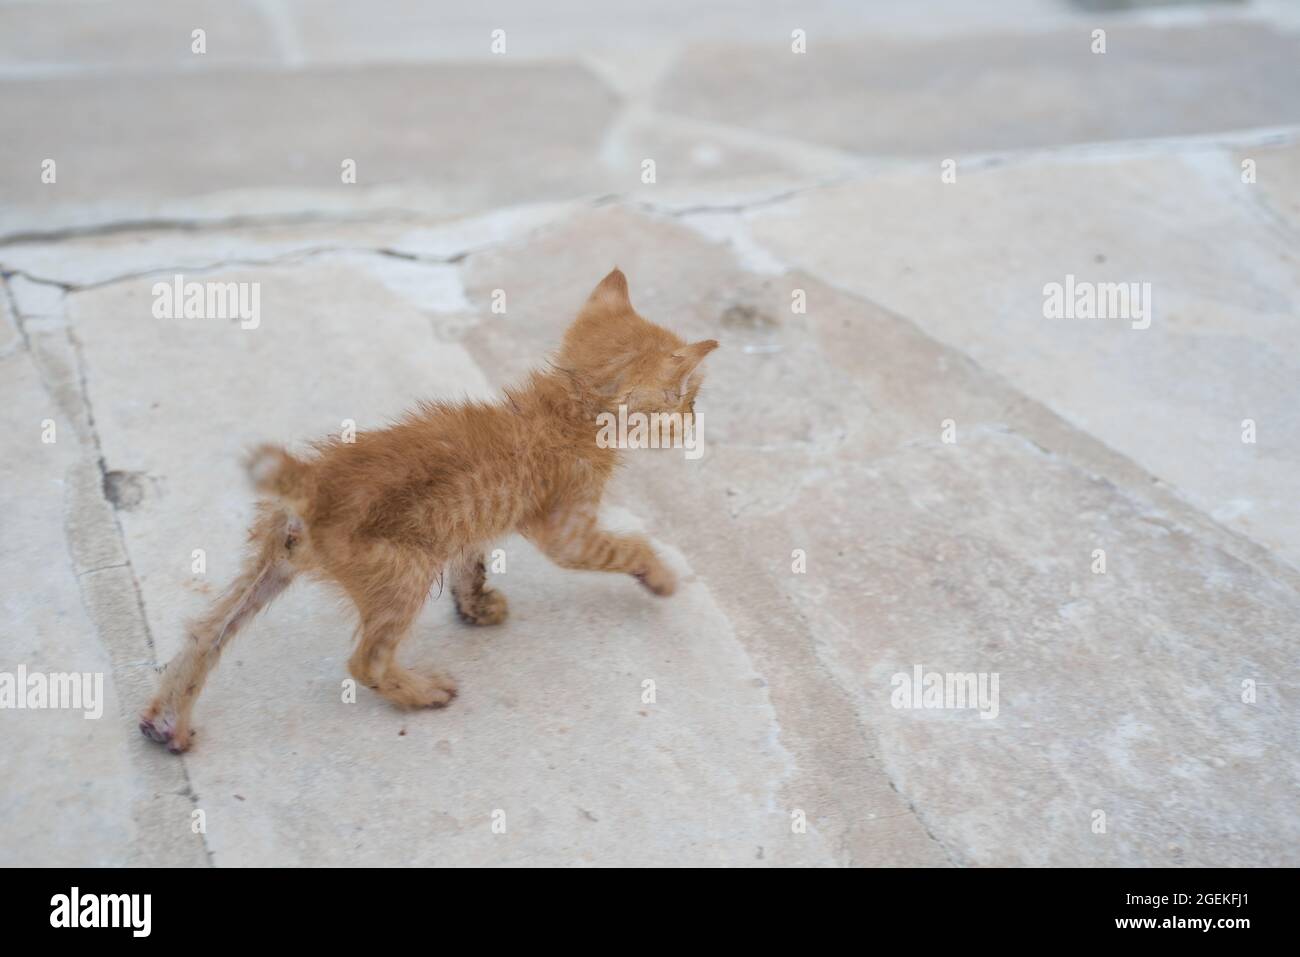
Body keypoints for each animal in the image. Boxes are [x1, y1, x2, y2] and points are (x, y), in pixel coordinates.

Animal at [142, 269, 722, 754]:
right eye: (688, 402)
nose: (695, 424)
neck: (568, 408)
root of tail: (314, 479)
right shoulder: (568, 534)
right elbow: (631, 545)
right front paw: (661, 577)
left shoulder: (465, 526)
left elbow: (470, 561)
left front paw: (476, 606)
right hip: (406, 573)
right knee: (365, 661)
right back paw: (422, 693)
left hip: (271, 567)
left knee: (204, 634)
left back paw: (165, 723)